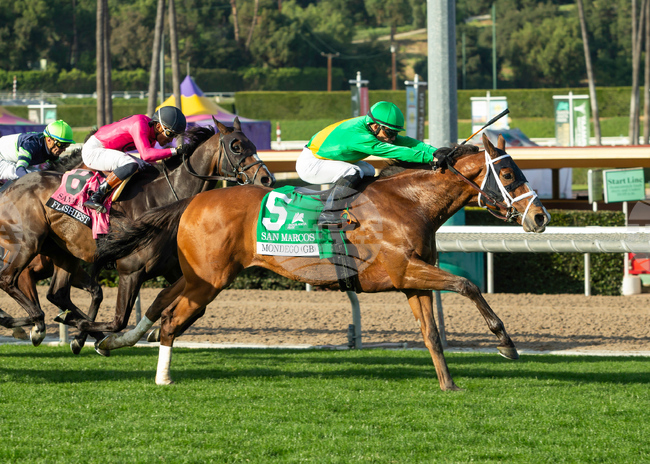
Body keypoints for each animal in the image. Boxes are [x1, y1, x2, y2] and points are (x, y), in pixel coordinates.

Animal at [0, 117, 275, 353]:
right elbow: (119, 321)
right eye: (236, 146)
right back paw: (33, 323)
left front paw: (153, 332)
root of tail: (10, 187)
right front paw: (87, 333)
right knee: (8, 280)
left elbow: (196, 309)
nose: (267, 178)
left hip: (62, 251)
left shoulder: (173, 268)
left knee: (56, 293)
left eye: (252, 144)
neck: (163, 197)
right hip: (27, 243)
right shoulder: (130, 269)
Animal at [94, 134, 550, 390]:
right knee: (171, 321)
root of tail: (193, 200)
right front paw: (505, 343)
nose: (540, 218)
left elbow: (432, 335)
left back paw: (113, 341)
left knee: (159, 305)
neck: (409, 203)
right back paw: (162, 376)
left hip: (199, 275)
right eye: (509, 176)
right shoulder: (406, 269)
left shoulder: (412, 281)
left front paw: (448, 384)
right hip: (209, 280)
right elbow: (466, 285)